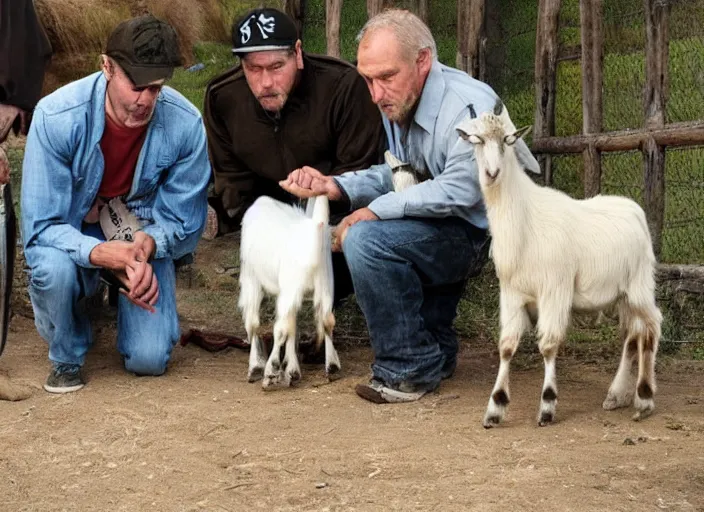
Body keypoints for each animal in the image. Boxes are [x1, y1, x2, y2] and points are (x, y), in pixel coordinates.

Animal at [236, 195, 340, 388]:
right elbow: (293, 325)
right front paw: (291, 370)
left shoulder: (251, 277)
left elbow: (253, 323)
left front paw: (256, 367)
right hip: (325, 285)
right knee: (326, 320)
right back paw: (331, 366)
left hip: (289, 285)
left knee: (279, 328)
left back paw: (270, 371)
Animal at [456, 108, 660, 428]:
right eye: (476, 140)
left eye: (507, 140)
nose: (492, 173)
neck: (525, 220)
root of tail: (634, 209)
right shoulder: (511, 293)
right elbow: (506, 346)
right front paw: (495, 408)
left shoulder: (554, 289)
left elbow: (549, 345)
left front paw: (547, 406)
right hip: (622, 295)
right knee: (632, 334)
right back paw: (617, 395)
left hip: (640, 284)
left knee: (652, 327)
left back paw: (644, 399)